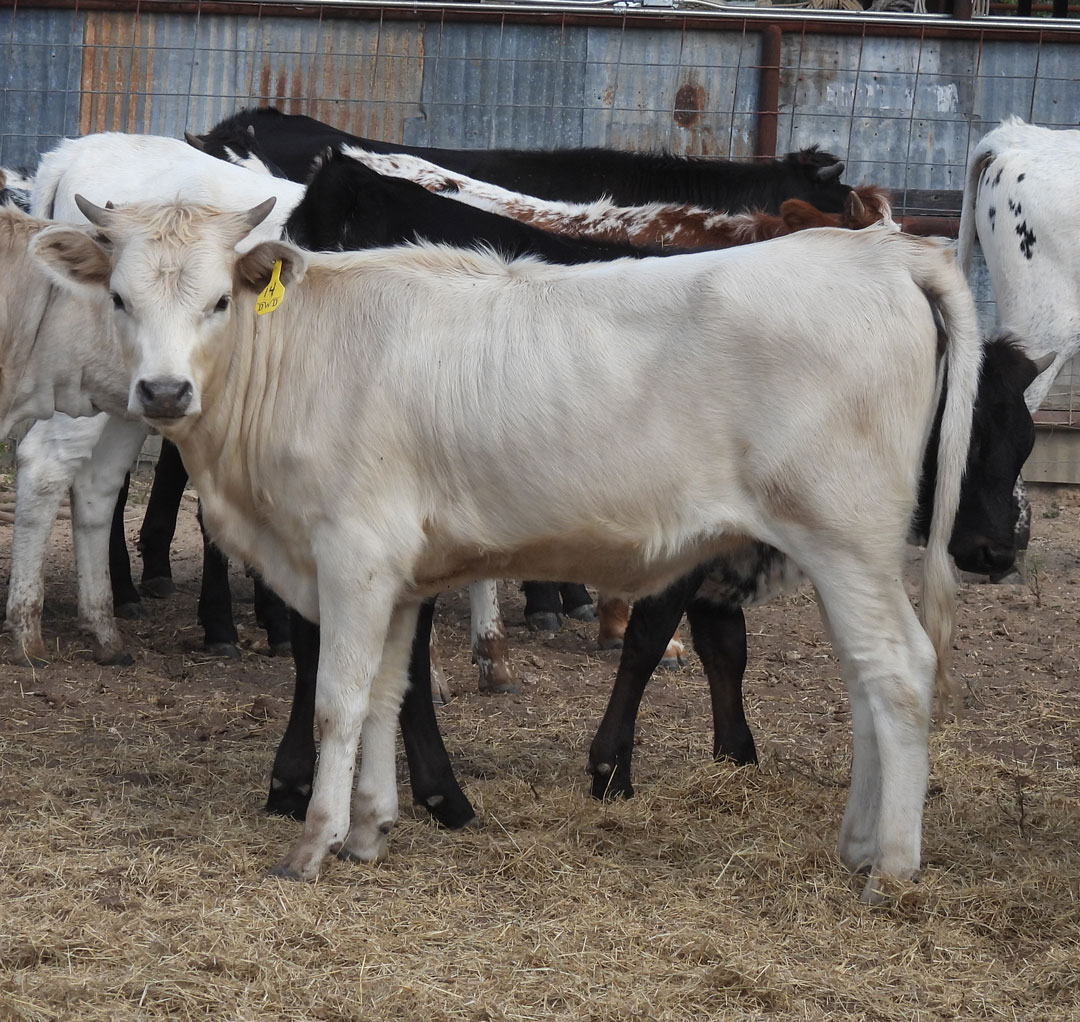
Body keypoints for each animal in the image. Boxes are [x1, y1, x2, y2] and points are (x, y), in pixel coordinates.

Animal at [35, 200, 980, 898]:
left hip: (844, 536)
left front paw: (315, 843)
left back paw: (892, 869)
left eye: (219, 302)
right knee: (864, 680)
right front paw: (373, 828)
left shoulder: (351, 555)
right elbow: (390, 693)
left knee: (899, 672)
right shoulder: (398, 574)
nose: (162, 391)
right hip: (842, 551)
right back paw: (859, 842)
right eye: (120, 299)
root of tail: (878, 251)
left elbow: (340, 698)